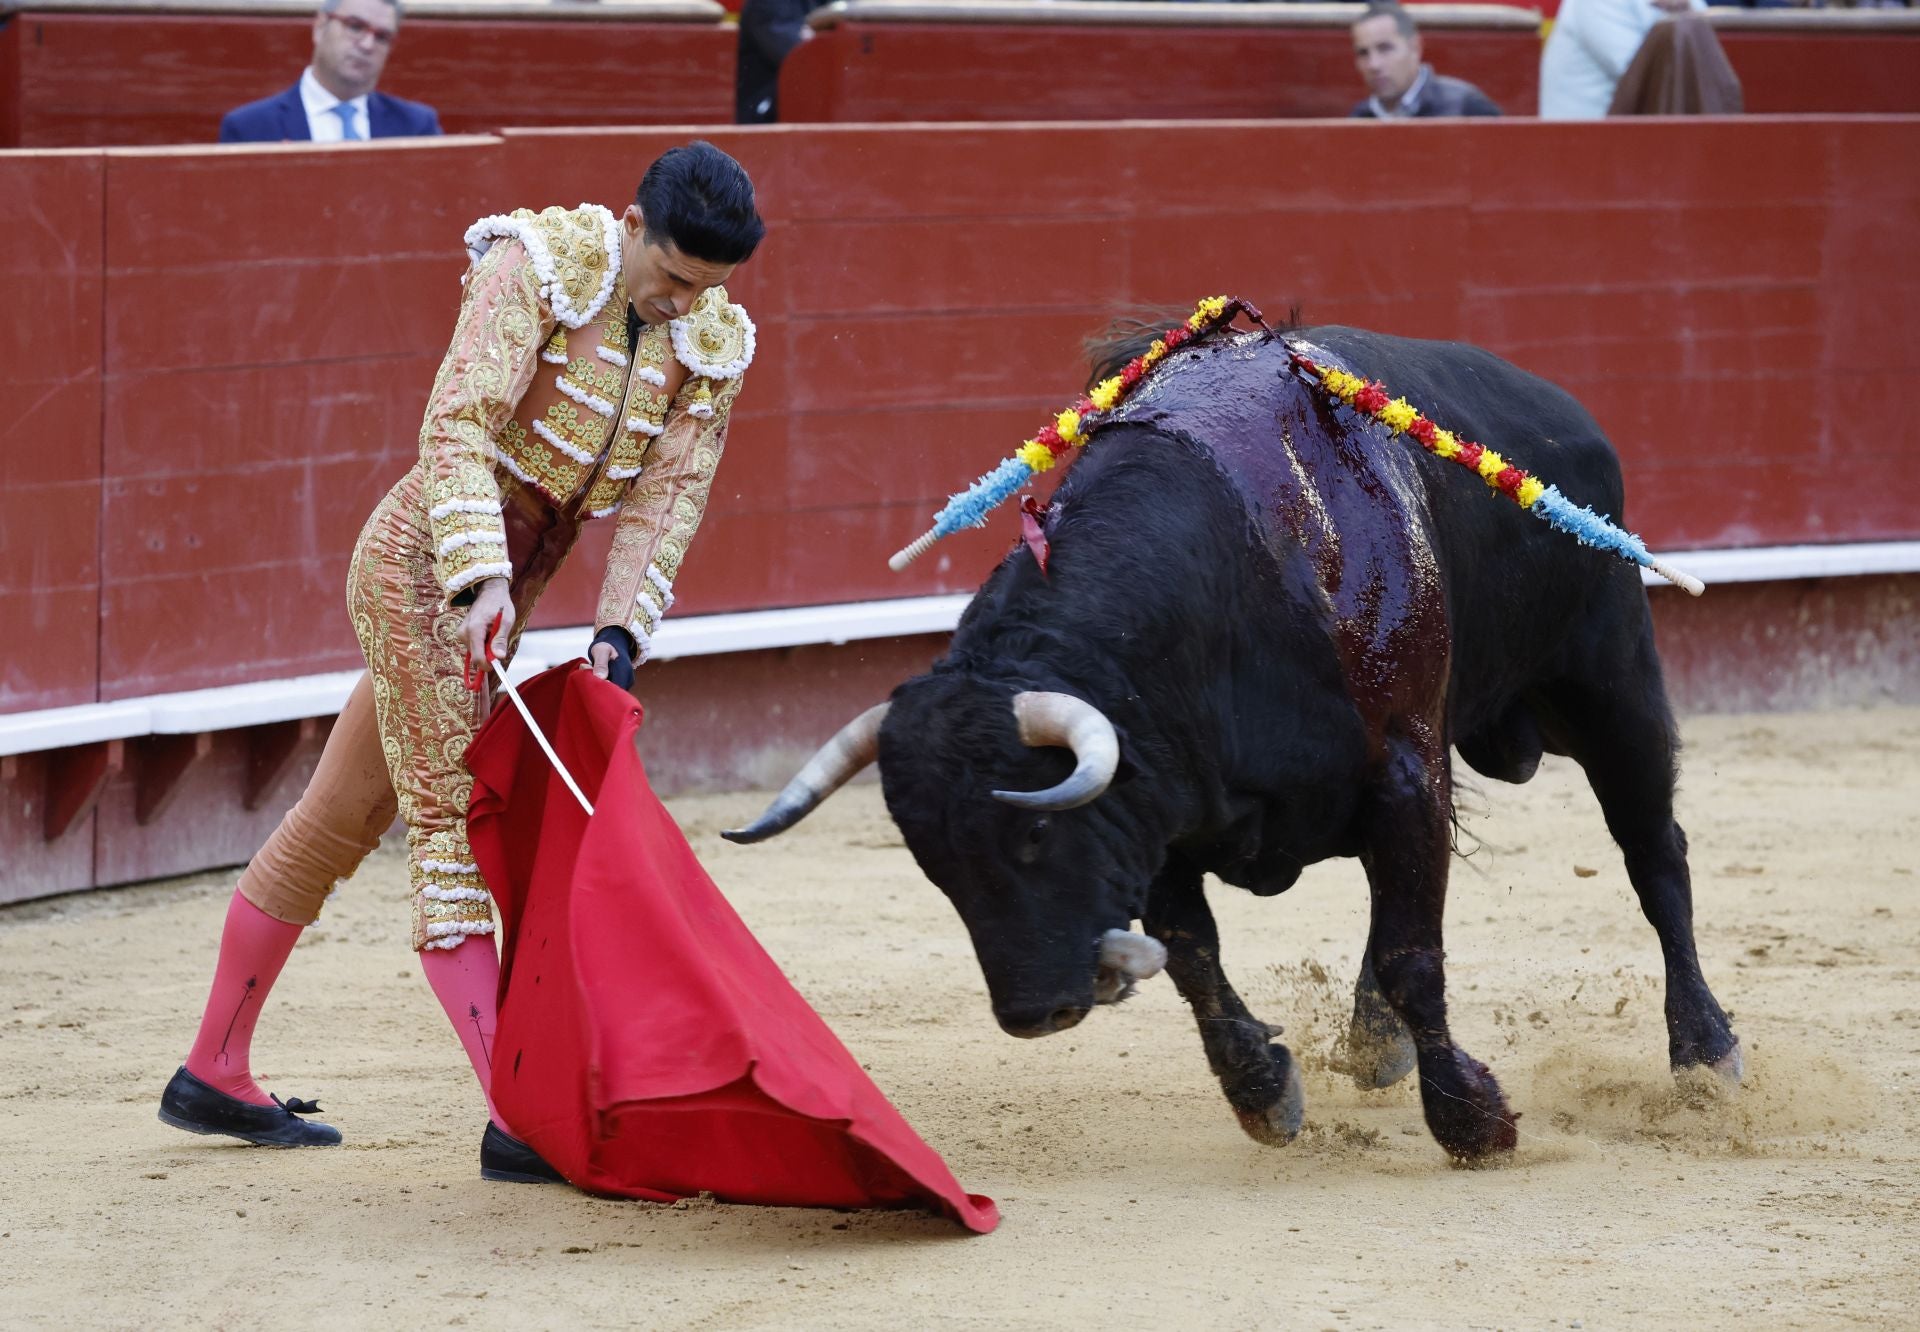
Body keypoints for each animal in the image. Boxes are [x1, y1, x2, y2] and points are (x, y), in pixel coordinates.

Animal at [721, 318, 1743, 1166]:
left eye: (1035, 833)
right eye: (933, 864)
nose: (1033, 1014)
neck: (1228, 583)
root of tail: (1567, 415)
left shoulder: (1401, 769)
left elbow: (1415, 955)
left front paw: (1476, 1124)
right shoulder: (1161, 804)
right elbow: (1196, 957)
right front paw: (1264, 1095)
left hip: (1610, 685)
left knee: (1654, 853)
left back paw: (1705, 1055)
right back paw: (1374, 1044)